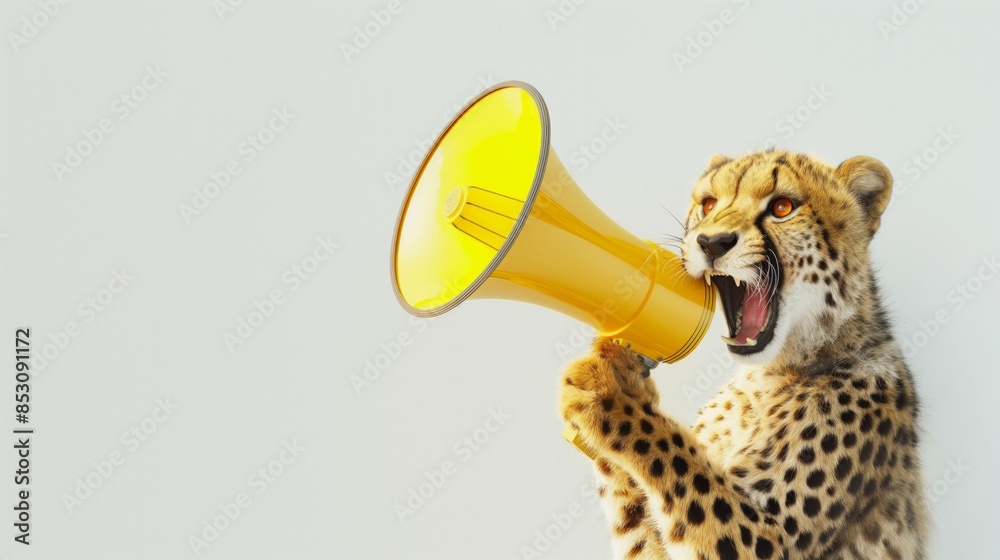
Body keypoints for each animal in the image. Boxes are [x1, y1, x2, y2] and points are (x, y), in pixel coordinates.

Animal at [558, 150, 928, 559]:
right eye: (709, 204)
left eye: (782, 207)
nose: (712, 242)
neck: (768, 374)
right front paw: (614, 360)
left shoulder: (772, 542)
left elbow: (680, 461)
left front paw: (611, 390)